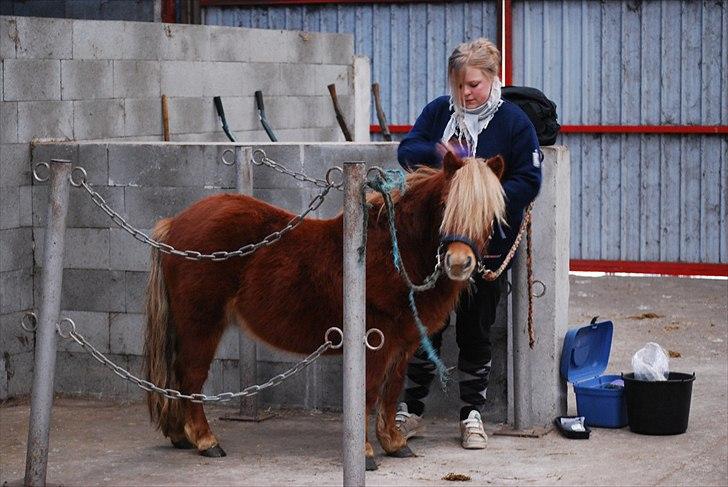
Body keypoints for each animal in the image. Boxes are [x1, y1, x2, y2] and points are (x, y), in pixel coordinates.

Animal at [142, 151, 506, 468]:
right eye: (445, 205)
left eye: (489, 213)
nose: (458, 263)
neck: (394, 252)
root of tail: (174, 224)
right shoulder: (375, 342)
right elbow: (368, 394)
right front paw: (365, 453)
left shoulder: (403, 344)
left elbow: (391, 391)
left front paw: (394, 443)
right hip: (201, 323)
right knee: (190, 376)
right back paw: (206, 441)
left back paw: (181, 435)